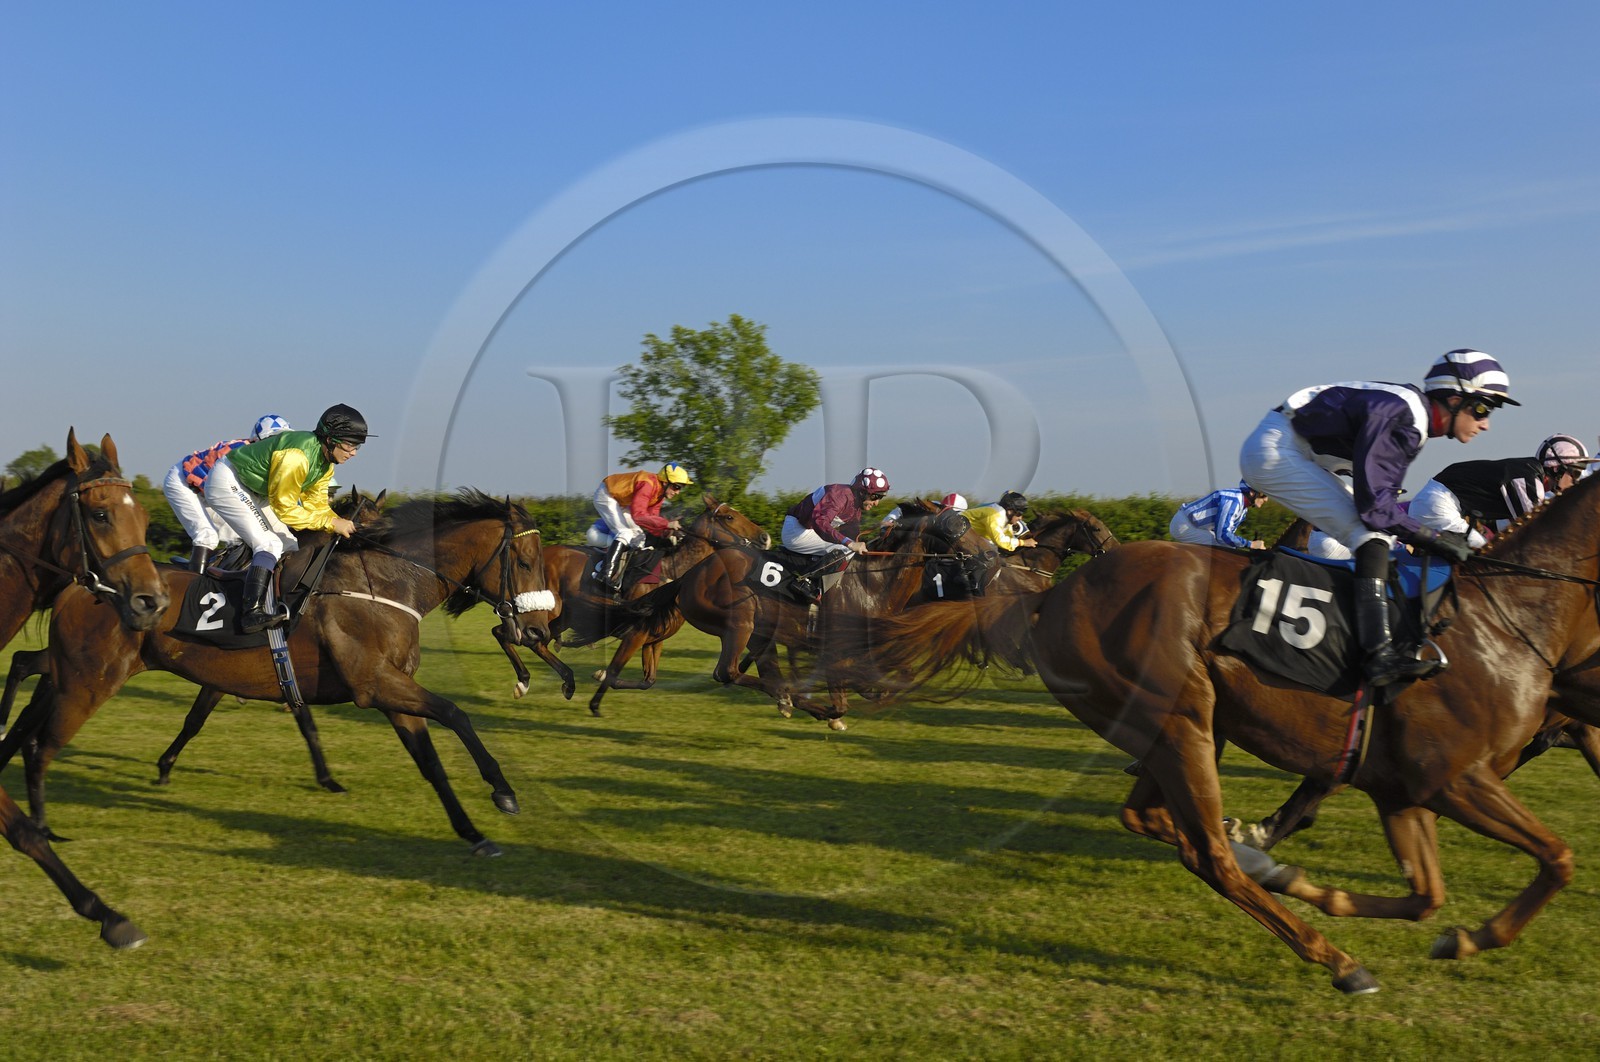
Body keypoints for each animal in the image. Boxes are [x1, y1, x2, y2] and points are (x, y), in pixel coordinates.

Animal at [0, 490, 553, 858]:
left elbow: (431, 762)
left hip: (75, 673)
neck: (382, 582)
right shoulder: (374, 684)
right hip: (90, 679)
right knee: (38, 728)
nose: (539, 629)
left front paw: (473, 833)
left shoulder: (389, 691)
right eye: (526, 560)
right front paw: (502, 791)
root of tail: (83, 581)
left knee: (31, 698)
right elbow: (456, 713)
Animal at [819, 472, 1600, 993]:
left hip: (1188, 726)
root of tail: (1053, 597)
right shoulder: (1454, 778)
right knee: (1205, 855)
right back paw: (1334, 957)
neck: (1509, 615)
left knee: (1155, 819)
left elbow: (1429, 892)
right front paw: (1474, 936)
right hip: (1181, 719)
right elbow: (1557, 858)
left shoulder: (1405, 789)